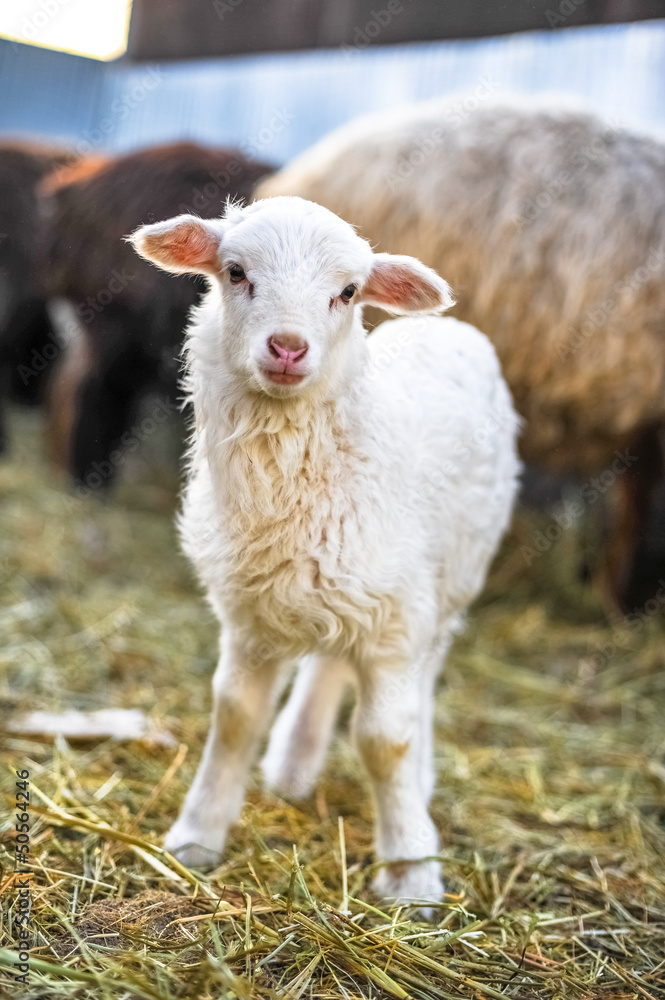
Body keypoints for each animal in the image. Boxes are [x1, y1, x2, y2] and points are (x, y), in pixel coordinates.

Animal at [130, 195, 520, 906]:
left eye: (348, 292)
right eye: (235, 272)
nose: (288, 347)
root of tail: (454, 328)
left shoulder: (397, 620)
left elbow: (384, 740)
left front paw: (412, 871)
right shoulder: (252, 617)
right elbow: (234, 716)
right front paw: (196, 836)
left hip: (450, 582)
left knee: (424, 676)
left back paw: (417, 782)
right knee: (329, 665)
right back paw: (293, 762)